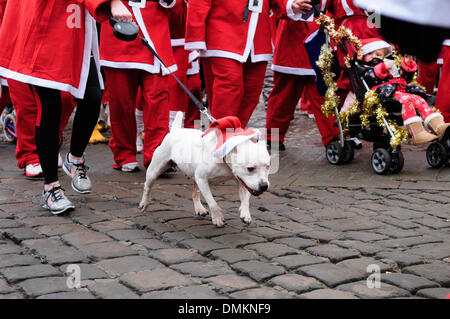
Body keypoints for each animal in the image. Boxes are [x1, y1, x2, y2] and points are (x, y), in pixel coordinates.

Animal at [138, 112, 270, 228]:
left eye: (268, 166)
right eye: (250, 168)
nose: (264, 186)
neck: (224, 159)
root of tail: (175, 131)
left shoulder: (242, 180)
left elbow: (246, 198)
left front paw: (245, 213)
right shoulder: (202, 179)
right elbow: (212, 203)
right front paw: (217, 218)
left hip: (195, 177)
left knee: (194, 193)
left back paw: (199, 209)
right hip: (155, 170)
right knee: (147, 186)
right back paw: (144, 203)